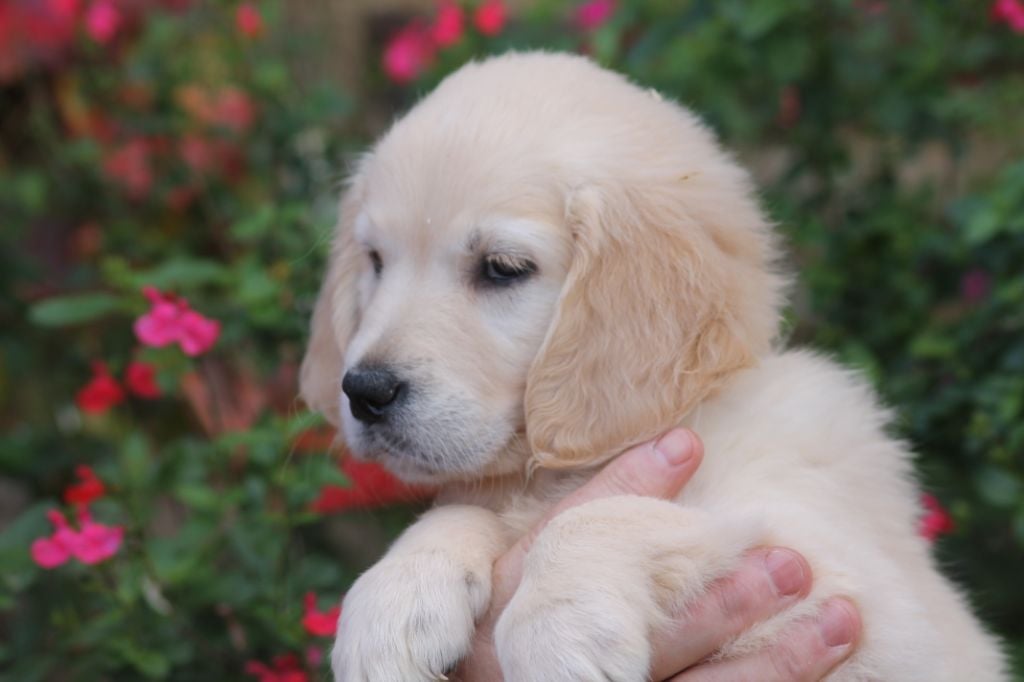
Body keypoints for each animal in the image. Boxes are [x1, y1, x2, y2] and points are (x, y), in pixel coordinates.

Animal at [299, 52, 1006, 681]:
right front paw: (390, 601)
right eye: (375, 261)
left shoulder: (854, 593)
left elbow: (609, 514)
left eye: (502, 268)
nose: (364, 391)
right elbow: (462, 512)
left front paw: (557, 629)